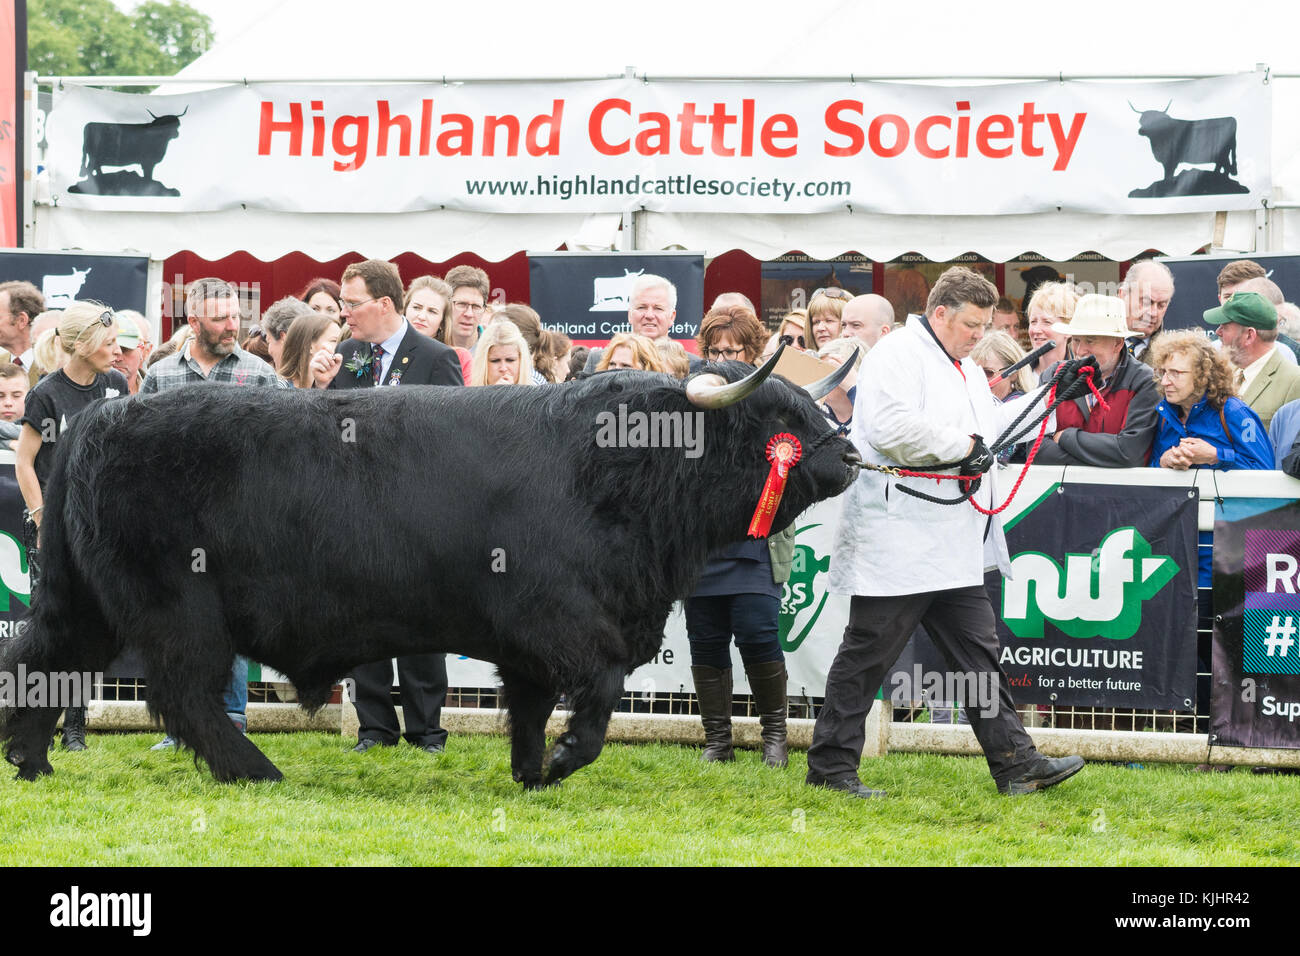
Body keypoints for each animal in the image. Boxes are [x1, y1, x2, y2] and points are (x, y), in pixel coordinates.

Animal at [2, 351, 863, 785]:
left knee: (40, 661)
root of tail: (102, 414)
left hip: (84, 601)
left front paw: (531, 771)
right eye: (778, 416)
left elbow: (529, 706)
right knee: (183, 695)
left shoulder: (533, 642)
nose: (850, 454)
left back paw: (30, 760)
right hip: (177, 607)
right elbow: (597, 694)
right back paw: (256, 770)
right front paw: (563, 759)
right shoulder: (563, 621)